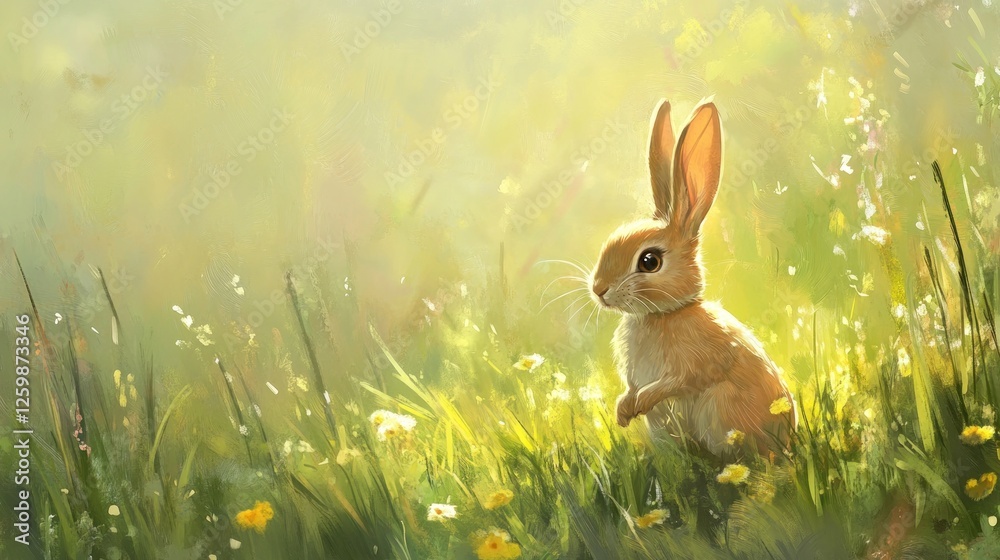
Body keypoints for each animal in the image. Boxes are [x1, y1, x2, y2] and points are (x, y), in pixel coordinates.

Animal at [589, 98, 797, 457]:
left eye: (649, 261)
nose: (599, 289)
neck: (661, 315)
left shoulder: (696, 363)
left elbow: (677, 381)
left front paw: (638, 402)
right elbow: (630, 387)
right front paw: (623, 410)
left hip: (721, 407)